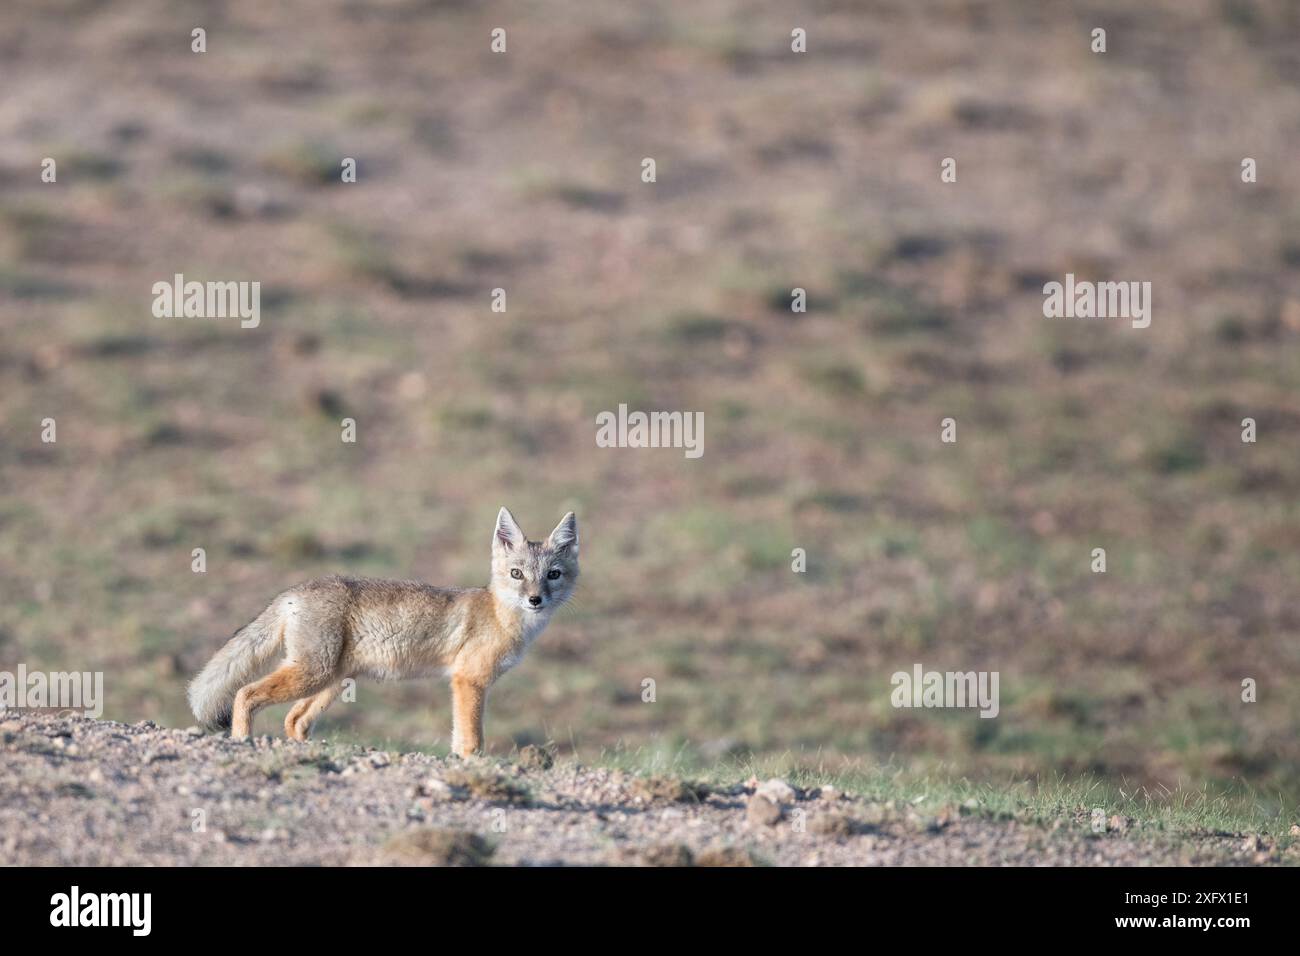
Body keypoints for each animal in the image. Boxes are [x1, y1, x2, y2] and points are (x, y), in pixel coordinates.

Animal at [187, 509, 579, 754]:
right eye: (517, 574)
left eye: (553, 575)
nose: (535, 599)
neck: (501, 616)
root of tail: (296, 590)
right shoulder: (469, 681)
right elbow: (471, 741)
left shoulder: (464, 683)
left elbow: (458, 738)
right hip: (313, 673)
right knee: (245, 694)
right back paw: (242, 741)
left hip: (332, 682)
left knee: (294, 720)